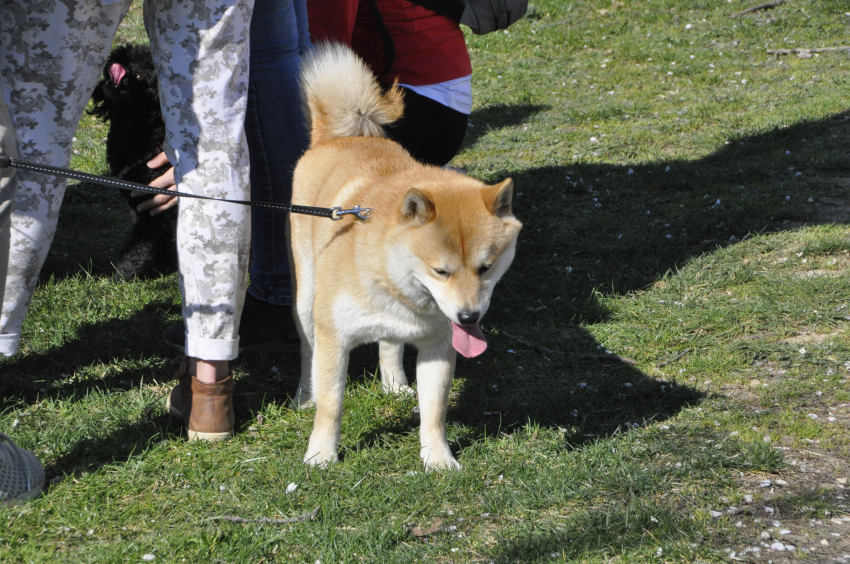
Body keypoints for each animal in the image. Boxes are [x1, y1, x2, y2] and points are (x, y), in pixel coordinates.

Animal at [89, 42, 177, 282]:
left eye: (140, 75)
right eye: (123, 57)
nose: (120, 67)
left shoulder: (154, 207)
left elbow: (139, 245)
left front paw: (123, 274)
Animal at [288, 41, 520, 470]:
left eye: (486, 267)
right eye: (441, 271)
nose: (469, 317)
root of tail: (340, 137)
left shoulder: (439, 346)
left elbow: (435, 411)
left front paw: (438, 459)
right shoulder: (334, 338)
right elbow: (331, 405)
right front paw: (321, 455)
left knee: (389, 344)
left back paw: (394, 384)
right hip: (305, 298)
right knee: (306, 348)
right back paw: (303, 396)